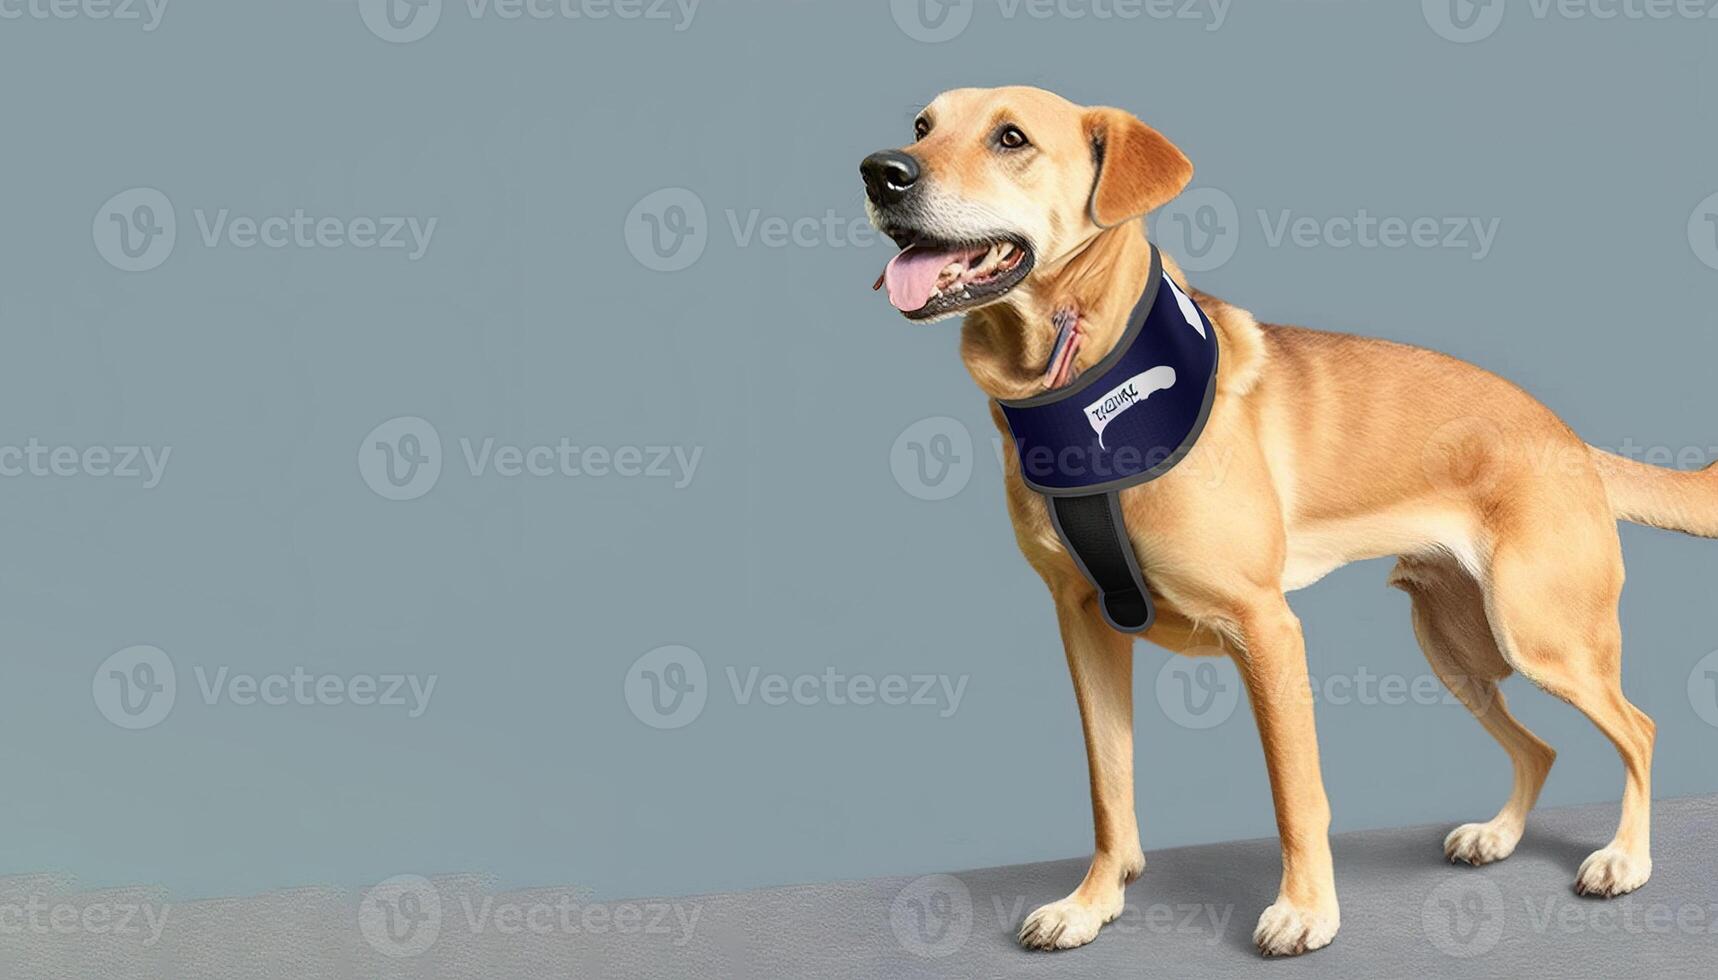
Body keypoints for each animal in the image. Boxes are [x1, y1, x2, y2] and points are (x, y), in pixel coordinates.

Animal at [859, 85, 1718, 955]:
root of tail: (1569, 437)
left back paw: (1625, 858)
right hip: (1458, 648)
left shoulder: (1265, 630)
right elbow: (1110, 786)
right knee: (1539, 748)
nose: (880, 171)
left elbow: (1295, 795)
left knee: (1639, 729)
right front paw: (1093, 902)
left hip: (1542, 635)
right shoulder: (1086, 627)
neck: (1085, 388)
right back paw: (1499, 834)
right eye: (922, 126)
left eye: (1011, 139)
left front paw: (1306, 909)